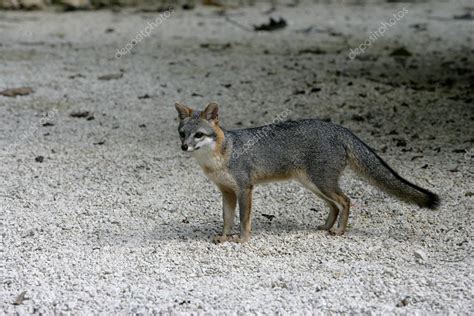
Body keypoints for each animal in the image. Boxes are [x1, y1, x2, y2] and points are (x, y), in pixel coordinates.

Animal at [175, 102, 440, 243]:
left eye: (198, 135)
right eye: (182, 133)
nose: (184, 147)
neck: (221, 155)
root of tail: (339, 128)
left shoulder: (244, 189)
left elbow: (243, 219)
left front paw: (242, 239)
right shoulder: (226, 192)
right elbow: (227, 219)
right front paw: (223, 238)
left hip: (321, 183)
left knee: (346, 201)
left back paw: (339, 231)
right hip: (314, 185)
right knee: (335, 205)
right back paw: (325, 227)